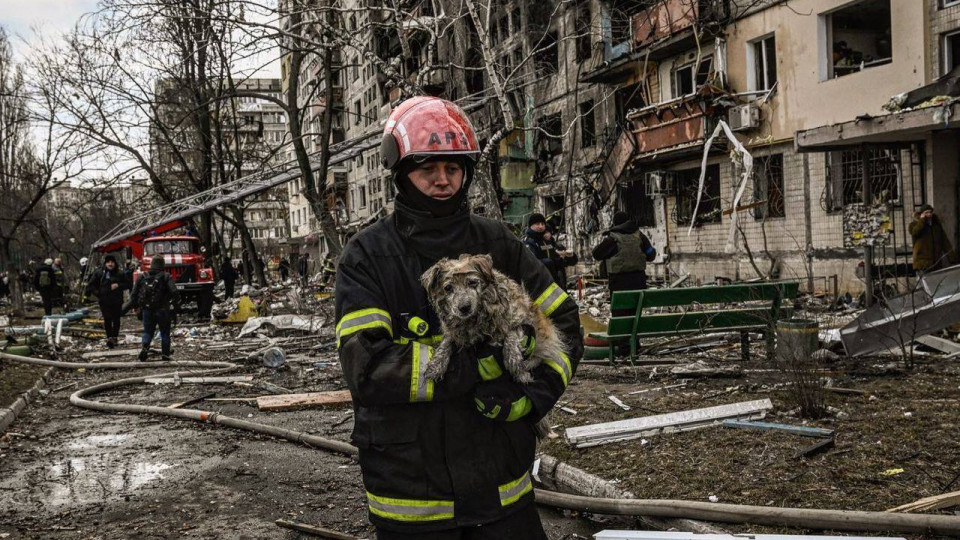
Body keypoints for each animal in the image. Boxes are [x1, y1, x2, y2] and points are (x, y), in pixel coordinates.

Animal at [422, 252, 568, 388]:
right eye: (448, 288)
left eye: (472, 282)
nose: (464, 308)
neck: (476, 318)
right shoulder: (455, 332)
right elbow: (446, 342)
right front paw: (436, 364)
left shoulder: (523, 320)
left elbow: (510, 334)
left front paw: (516, 365)